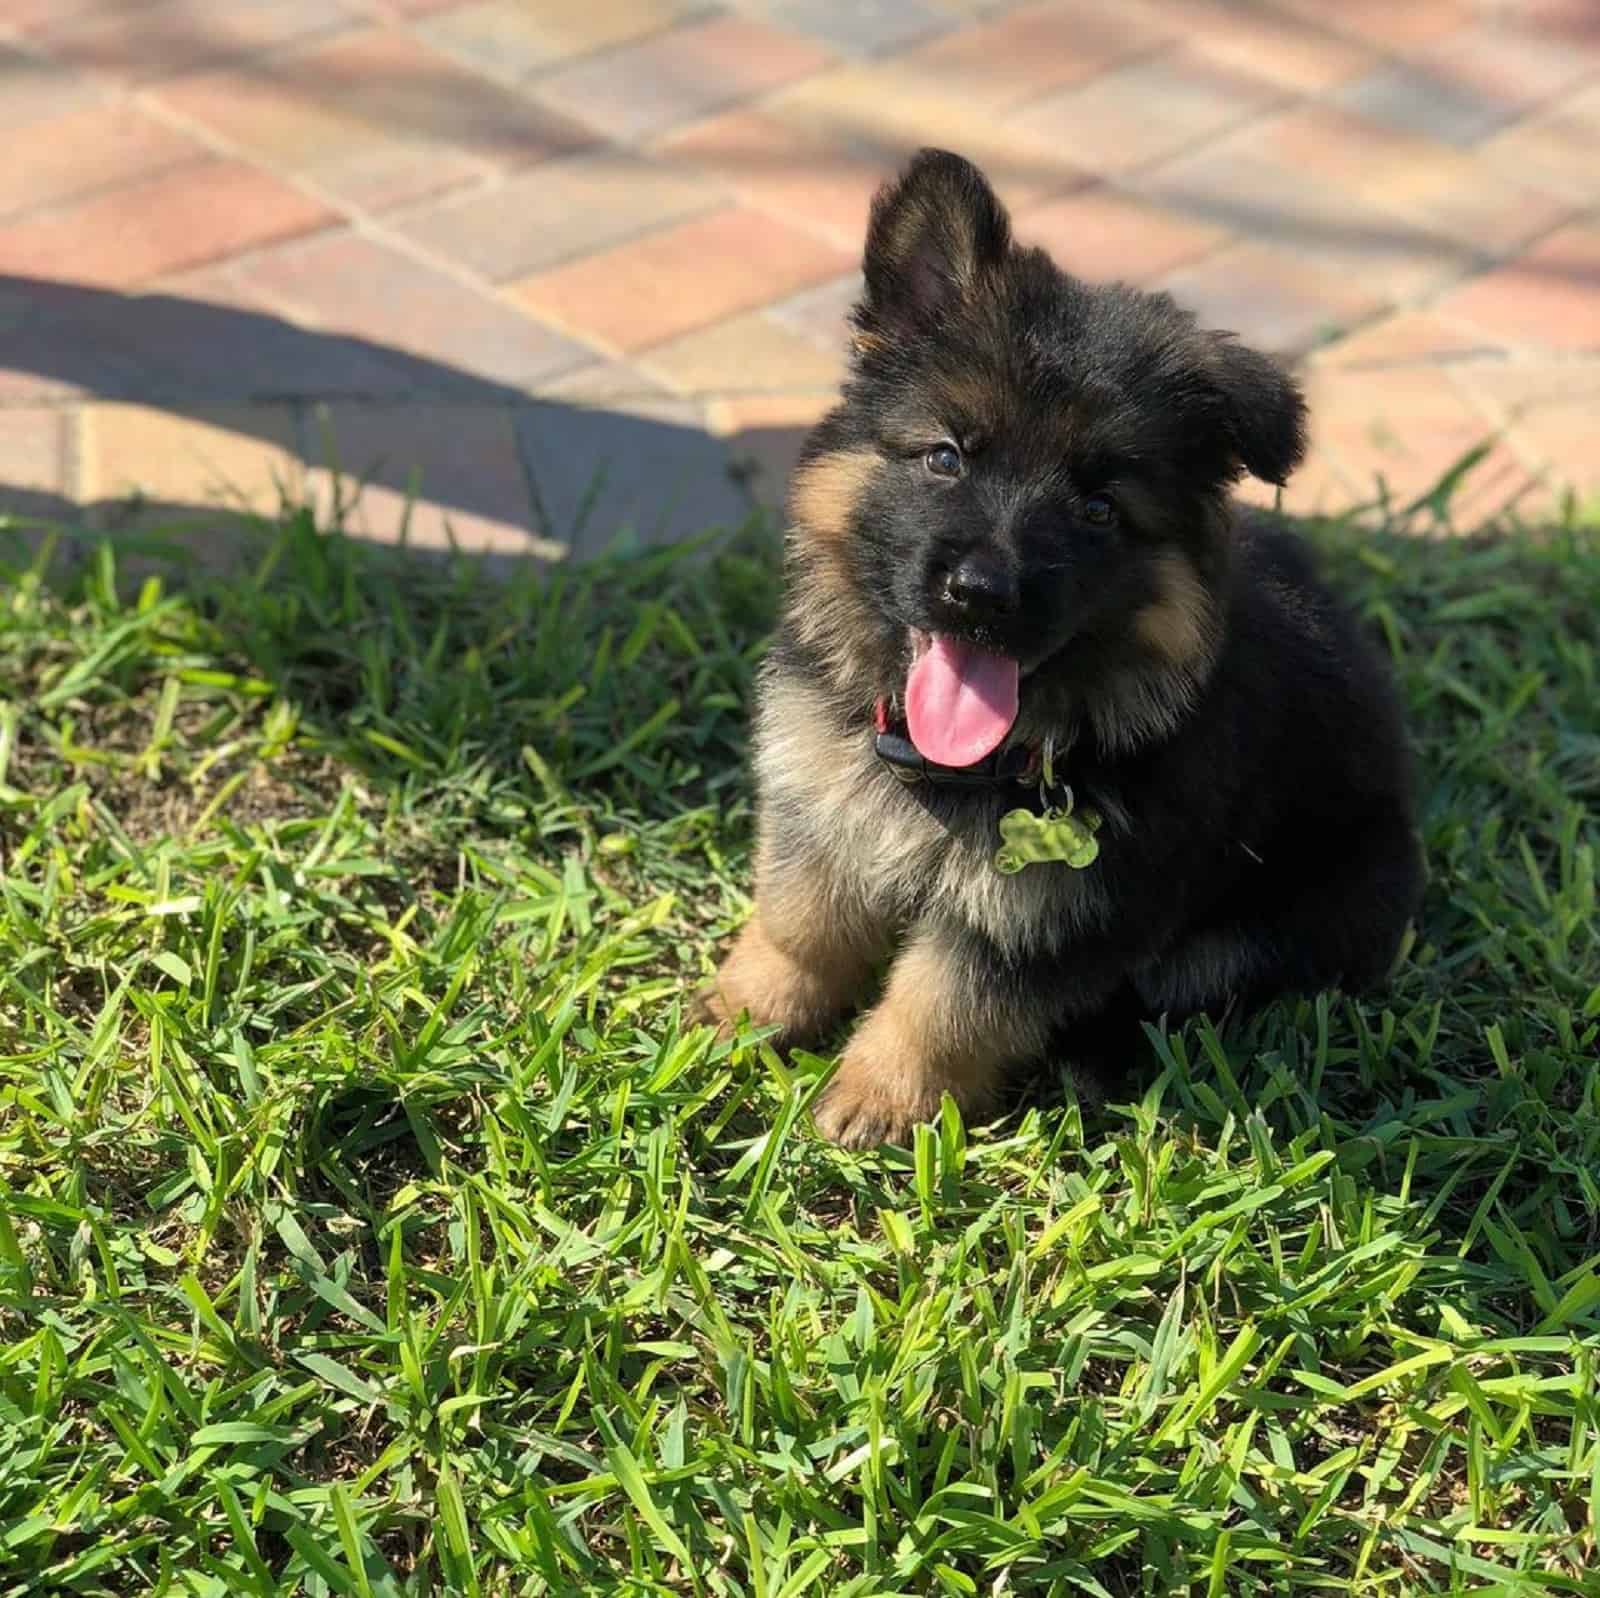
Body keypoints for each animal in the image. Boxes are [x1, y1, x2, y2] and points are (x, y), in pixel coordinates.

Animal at [704, 152, 1427, 1151]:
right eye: (946, 457)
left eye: (1098, 510)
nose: (980, 596)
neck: (954, 769)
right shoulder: (819, 809)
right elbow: (799, 922)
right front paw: (745, 1012)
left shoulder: (1049, 916)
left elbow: (945, 1003)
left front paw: (881, 1099)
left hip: (1273, 924)